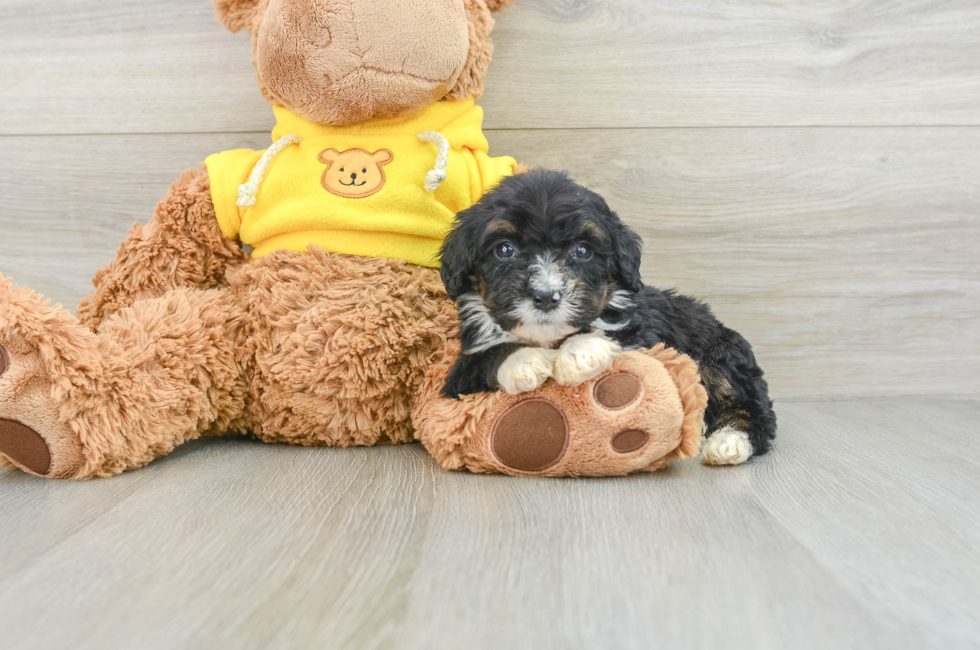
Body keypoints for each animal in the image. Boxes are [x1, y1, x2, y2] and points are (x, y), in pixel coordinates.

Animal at [440, 167, 776, 460]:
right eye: (504, 249)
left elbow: (613, 332)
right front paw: (525, 361)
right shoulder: (457, 381)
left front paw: (580, 354)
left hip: (720, 358)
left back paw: (728, 442)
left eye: (582, 250)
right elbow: (486, 357)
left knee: (751, 409)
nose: (546, 296)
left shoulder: (644, 336)